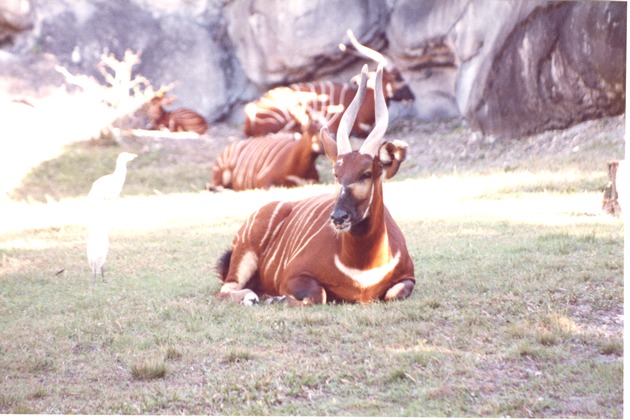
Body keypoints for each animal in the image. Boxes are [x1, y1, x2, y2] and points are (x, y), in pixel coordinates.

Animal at [215, 64, 418, 306]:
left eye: (366, 173)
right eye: (337, 174)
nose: (338, 217)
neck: (363, 269)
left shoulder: (408, 279)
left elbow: (394, 293)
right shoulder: (293, 275)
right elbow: (318, 295)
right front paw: (278, 299)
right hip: (244, 255)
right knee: (226, 290)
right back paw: (253, 297)